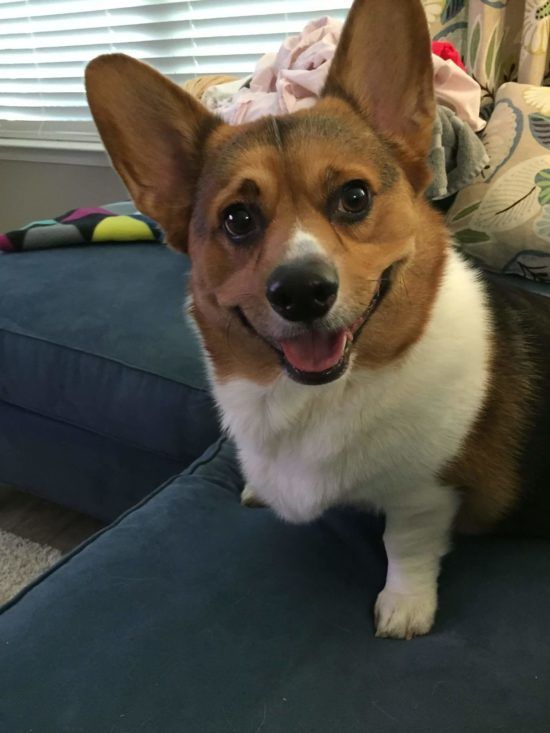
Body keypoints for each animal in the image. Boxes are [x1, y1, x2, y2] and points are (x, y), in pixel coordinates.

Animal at [86, 0, 550, 636]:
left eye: (354, 197)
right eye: (237, 219)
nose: (301, 293)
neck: (315, 397)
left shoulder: (425, 492)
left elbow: (406, 543)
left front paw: (404, 607)